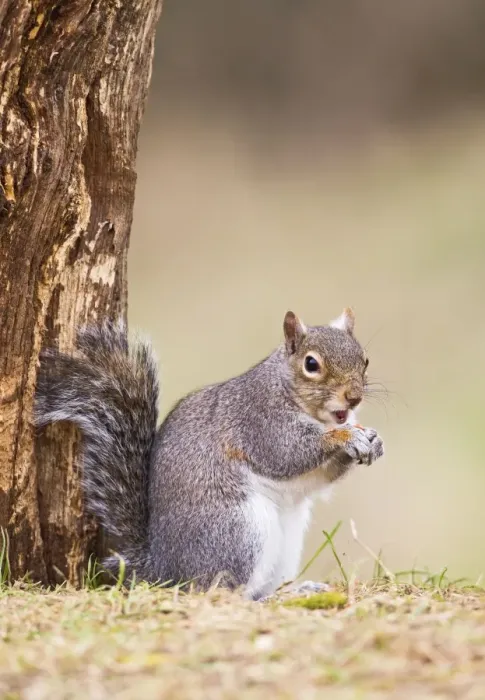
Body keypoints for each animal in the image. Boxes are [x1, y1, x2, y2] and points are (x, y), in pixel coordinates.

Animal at [35, 307, 384, 600]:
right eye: (311, 364)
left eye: (365, 360)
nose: (353, 397)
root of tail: (162, 570)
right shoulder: (259, 420)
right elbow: (287, 452)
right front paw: (345, 436)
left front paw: (373, 440)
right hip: (239, 531)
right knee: (223, 592)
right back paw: (276, 597)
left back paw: (297, 589)